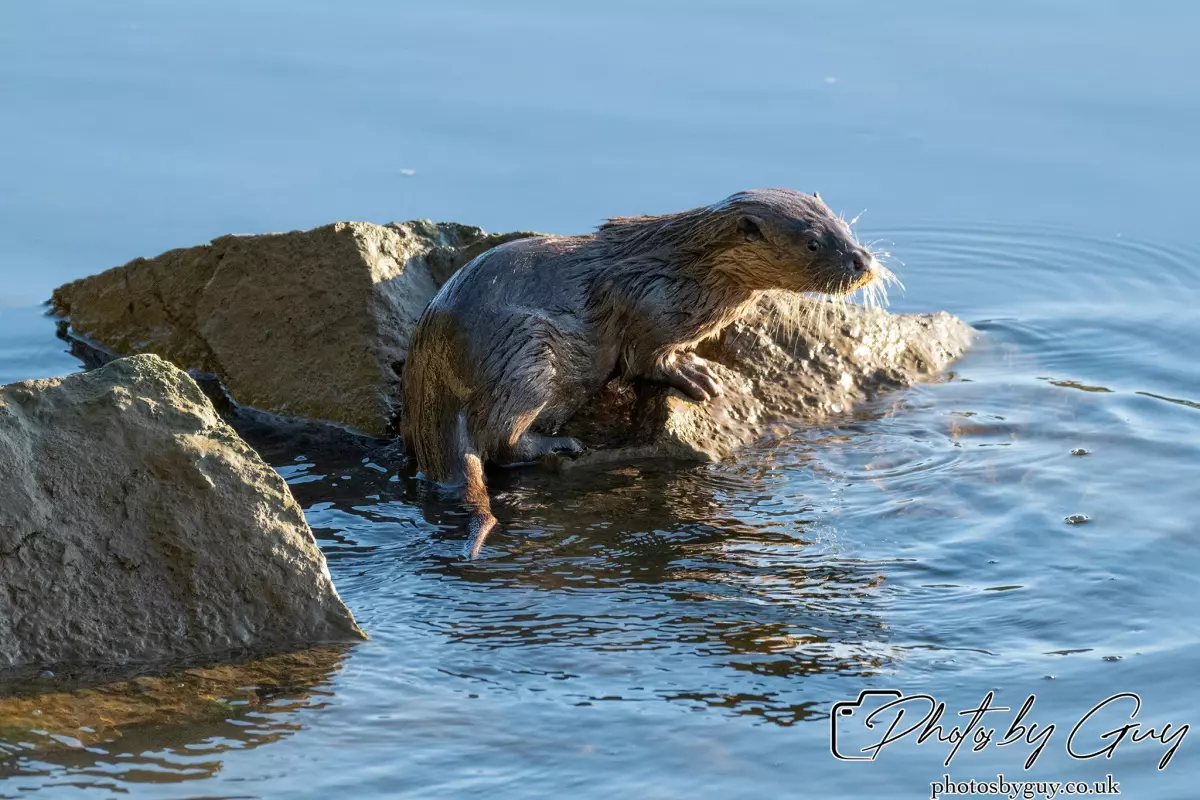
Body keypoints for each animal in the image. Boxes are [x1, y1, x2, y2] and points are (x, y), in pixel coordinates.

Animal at [403, 188, 885, 556]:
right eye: (813, 243)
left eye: (845, 227)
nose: (862, 261)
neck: (687, 272)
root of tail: (432, 383)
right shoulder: (651, 309)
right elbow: (649, 360)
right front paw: (698, 375)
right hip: (526, 356)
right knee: (501, 441)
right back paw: (563, 444)